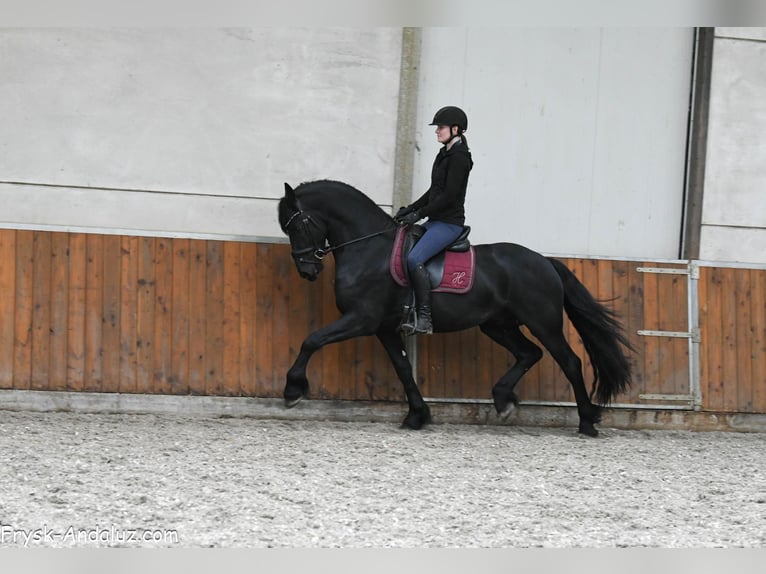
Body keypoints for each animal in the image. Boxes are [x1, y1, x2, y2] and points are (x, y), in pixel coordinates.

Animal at [277, 179, 633, 436]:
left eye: (296, 226)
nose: (307, 271)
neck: (368, 248)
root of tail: (545, 261)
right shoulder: (384, 328)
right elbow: (403, 368)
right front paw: (417, 415)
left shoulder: (362, 319)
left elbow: (312, 340)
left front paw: (293, 389)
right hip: (498, 325)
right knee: (529, 353)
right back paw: (503, 400)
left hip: (543, 323)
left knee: (569, 362)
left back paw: (586, 422)